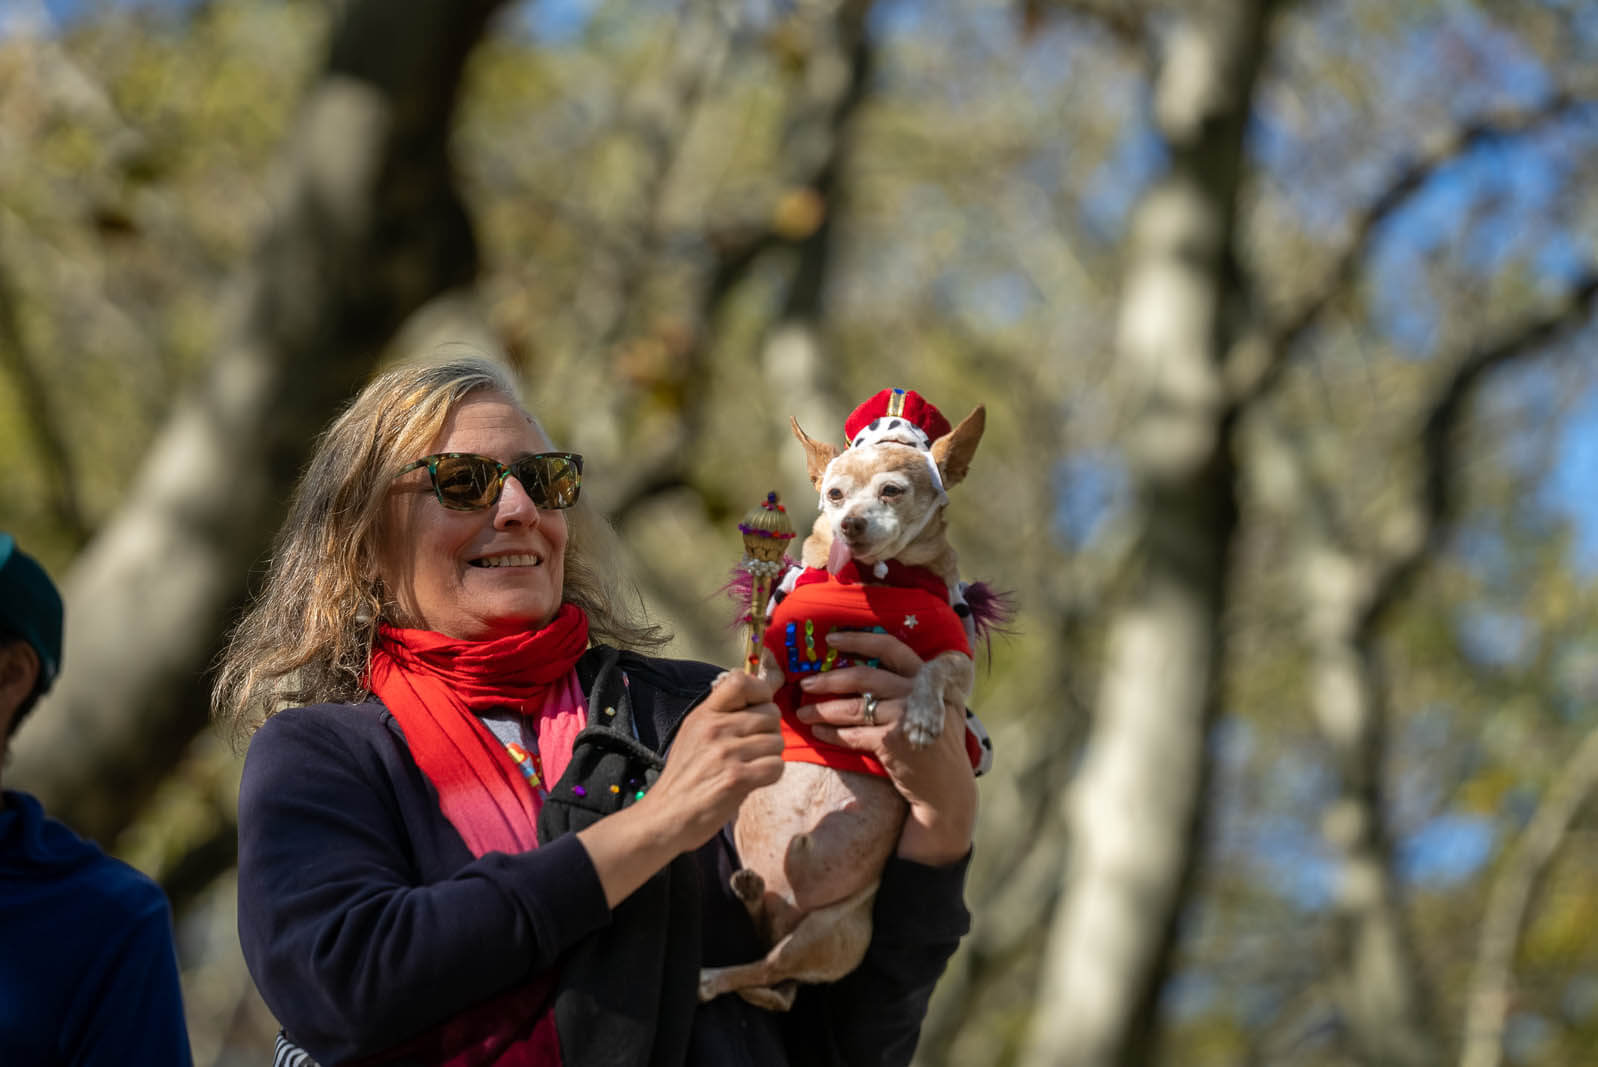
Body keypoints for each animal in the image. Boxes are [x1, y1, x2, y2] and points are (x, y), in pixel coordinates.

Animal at [703, 389, 984, 1009]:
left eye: (891, 491)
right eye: (833, 494)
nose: (850, 522)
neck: (869, 581)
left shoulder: (959, 661)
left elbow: (933, 669)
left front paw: (922, 716)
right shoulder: (779, 636)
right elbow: (768, 666)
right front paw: (737, 683)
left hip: (831, 930)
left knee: (767, 975)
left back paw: (716, 974)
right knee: (767, 966)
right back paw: (749, 891)